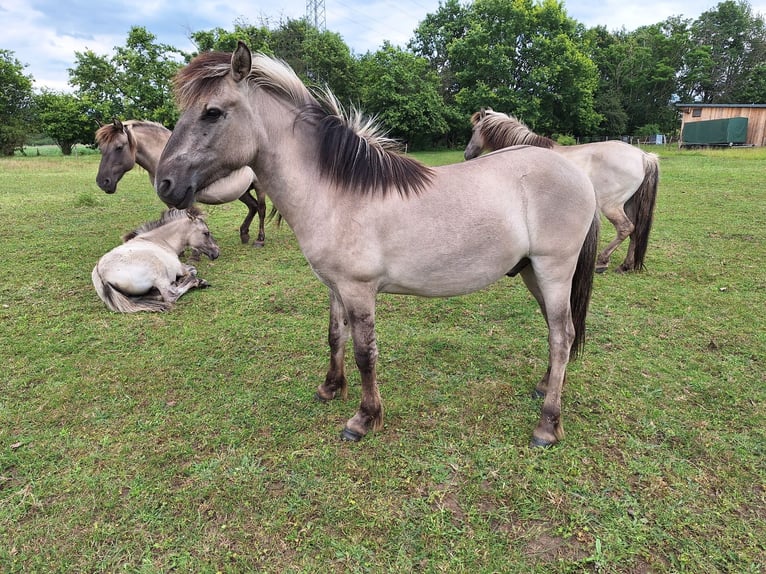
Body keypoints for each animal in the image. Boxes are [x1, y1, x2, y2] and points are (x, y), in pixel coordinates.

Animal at [92, 208, 220, 316]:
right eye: (206, 233)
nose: (216, 253)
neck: (159, 241)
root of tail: (101, 275)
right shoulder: (180, 268)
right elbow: (193, 270)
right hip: (159, 273)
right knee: (170, 296)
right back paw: (197, 282)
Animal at [97, 119, 268, 248]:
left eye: (119, 147)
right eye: (101, 148)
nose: (102, 182)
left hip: (259, 187)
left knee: (261, 209)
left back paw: (260, 240)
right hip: (242, 191)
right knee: (252, 206)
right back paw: (244, 234)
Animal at [154, 44, 600, 450]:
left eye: (213, 112)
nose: (165, 184)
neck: (338, 194)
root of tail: (576, 172)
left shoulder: (359, 290)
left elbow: (364, 352)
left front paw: (364, 418)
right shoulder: (334, 287)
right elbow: (334, 336)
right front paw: (330, 388)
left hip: (553, 270)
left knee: (562, 336)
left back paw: (547, 425)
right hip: (532, 272)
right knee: (556, 332)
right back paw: (544, 387)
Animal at [464, 111, 664, 276]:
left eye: (474, 129)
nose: (467, 154)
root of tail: (643, 156)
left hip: (611, 206)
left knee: (625, 228)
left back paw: (602, 261)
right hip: (629, 204)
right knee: (635, 231)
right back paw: (626, 265)